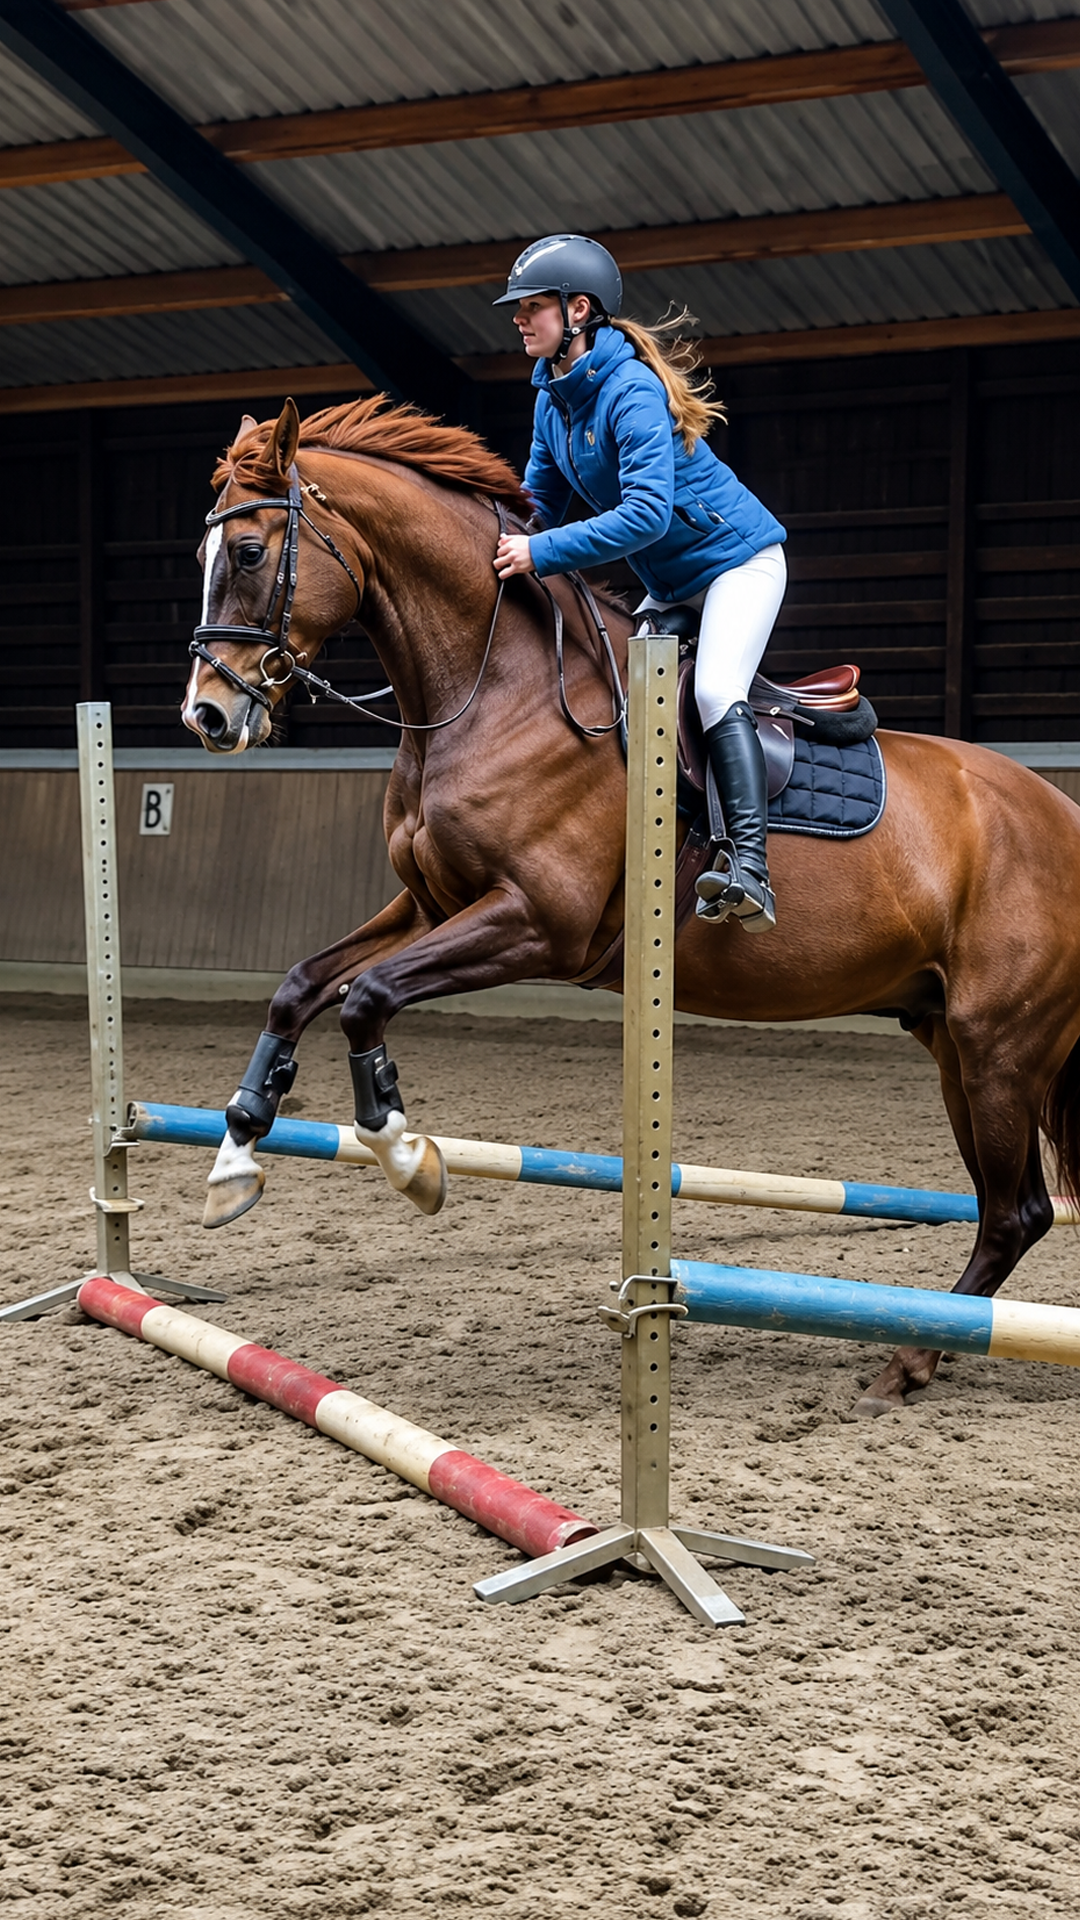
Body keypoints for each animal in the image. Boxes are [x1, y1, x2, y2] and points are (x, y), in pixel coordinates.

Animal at [182, 394, 1080, 1420]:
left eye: (250, 552)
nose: (207, 716)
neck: (498, 688)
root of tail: (1063, 813)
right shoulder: (431, 904)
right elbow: (301, 985)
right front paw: (234, 1160)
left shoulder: (539, 924)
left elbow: (366, 999)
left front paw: (410, 1158)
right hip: (949, 1041)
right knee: (1011, 1210)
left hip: (998, 1046)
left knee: (1014, 1212)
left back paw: (909, 1359)